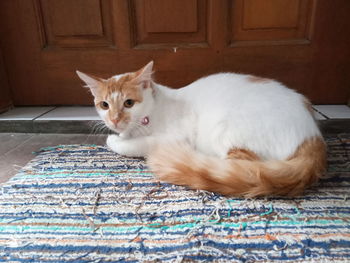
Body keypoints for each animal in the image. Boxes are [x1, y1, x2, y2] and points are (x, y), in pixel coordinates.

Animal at [76, 62, 326, 198]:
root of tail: (313, 134)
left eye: (128, 103)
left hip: (228, 130)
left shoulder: (175, 135)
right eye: (104, 105)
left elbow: (135, 144)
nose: (115, 120)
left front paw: (116, 141)